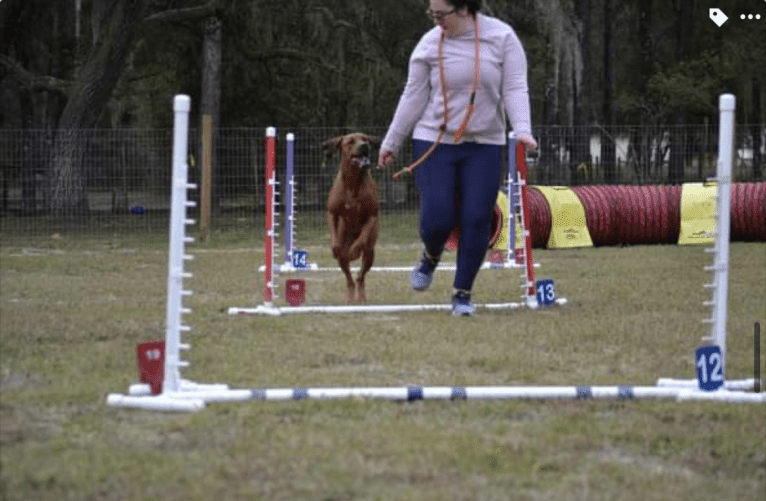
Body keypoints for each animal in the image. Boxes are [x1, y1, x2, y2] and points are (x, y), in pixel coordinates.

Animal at [322, 133, 380, 302]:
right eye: (350, 141)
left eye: (365, 139)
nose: (365, 145)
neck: (353, 181)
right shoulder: (332, 212)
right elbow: (333, 226)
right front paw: (334, 247)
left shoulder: (372, 215)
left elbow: (363, 236)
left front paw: (355, 249)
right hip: (344, 250)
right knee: (349, 278)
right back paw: (350, 298)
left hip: (370, 253)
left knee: (360, 276)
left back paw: (361, 297)